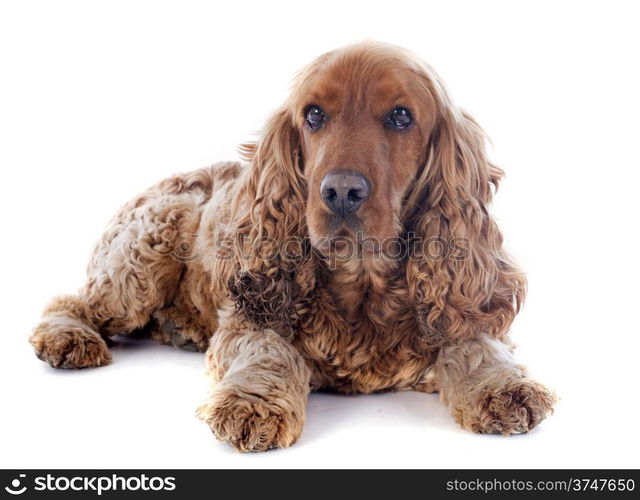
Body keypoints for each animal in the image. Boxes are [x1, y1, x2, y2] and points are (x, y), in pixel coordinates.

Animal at [30, 43, 556, 452]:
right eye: (314, 115)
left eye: (401, 116)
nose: (341, 191)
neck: (362, 285)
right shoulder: (251, 311)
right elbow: (268, 351)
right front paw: (253, 405)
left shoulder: (459, 307)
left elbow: (477, 344)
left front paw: (505, 387)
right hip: (143, 257)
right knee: (73, 300)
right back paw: (67, 337)